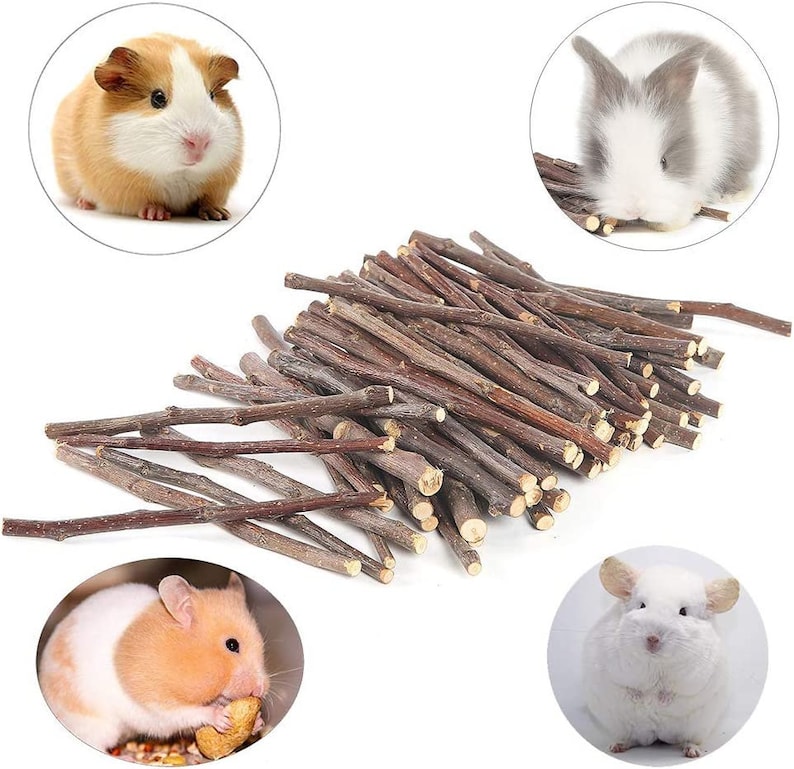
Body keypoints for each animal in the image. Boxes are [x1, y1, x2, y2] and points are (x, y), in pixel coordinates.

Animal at [38, 572, 268, 752]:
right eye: (232, 645)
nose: (260, 689)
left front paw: (258, 722)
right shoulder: (155, 704)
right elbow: (187, 712)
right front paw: (221, 716)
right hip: (93, 726)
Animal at [52, 34, 242, 221]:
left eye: (212, 95)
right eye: (157, 98)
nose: (199, 142)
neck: (179, 173)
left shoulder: (217, 185)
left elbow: (207, 201)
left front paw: (219, 215)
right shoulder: (126, 190)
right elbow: (147, 203)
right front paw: (157, 215)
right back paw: (84, 204)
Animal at [583, 556, 740, 758]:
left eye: (683, 611)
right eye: (642, 605)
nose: (652, 639)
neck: (656, 661)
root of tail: (657, 736)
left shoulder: (694, 678)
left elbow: (674, 689)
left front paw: (660, 700)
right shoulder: (613, 664)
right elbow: (627, 685)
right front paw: (640, 698)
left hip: (699, 727)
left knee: (688, 739)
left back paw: (692, 750)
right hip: (619, 724)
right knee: (631, 739)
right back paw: (618, 746)